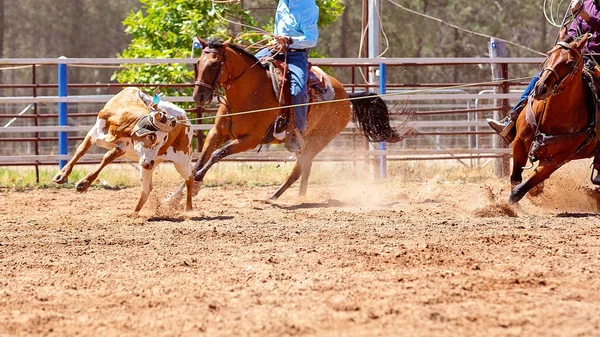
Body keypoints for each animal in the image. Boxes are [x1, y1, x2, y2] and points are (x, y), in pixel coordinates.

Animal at [52, 88, 195, 211]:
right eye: (152, 137)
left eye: (164, 140)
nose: (149, 163)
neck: (123, 119)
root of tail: (185, 118)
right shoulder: (96, 130)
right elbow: (81, 150)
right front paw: (61, 176)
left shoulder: (122, 147)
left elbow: (106, 158)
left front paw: (83, 184)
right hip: (149, 165)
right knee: (147, 189)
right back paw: (134, 213)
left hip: (181, 160)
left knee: (189, 179)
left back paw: (188, 210)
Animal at [170, 38, 408, 203]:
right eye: (198, 62)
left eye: (214, 64)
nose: (199, 96)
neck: (250, 93)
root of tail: (346, 96)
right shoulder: (217, 133)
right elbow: (200, 159)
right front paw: (177, 195)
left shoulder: (250, 140)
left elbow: (216, 155)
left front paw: (196, 183)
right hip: (306, 141)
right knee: (305, 167)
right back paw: (299, 195)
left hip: (320, 139)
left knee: (299, 168)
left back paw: (274, 196)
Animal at [508, 28, 596, 202]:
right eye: (549, 54)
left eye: (570, 63)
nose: (541, 88)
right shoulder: (520, 141)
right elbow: (515, 179)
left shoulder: (556, 159)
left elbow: (519, 190)